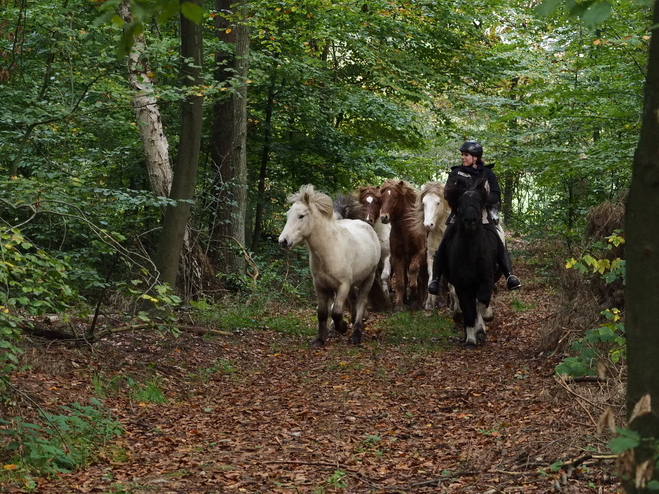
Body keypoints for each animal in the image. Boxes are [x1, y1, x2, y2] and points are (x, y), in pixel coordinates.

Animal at [280, 184, 384, 348]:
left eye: (301, 216)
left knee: (361, 302)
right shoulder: (320, 286)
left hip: (369, 278)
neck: (330, 249)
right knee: (353, 300)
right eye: (288, 214)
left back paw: (356, 333)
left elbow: (336, 312)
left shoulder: (343, 285)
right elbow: (323, 313)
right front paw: (319, 340)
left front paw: (343, 327)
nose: (283, 241)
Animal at [378, 179, 430, 310]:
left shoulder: (419, 253)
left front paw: (413, 293)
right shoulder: (397, 257)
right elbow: (401, 282)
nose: (384, 217)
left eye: (395, 197)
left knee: (423, 280)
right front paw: (399, 305)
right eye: (382, 198)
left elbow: (413, 270)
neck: (406, 230)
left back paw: (421, 301)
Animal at [412, 181, 454, 312]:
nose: (428, 225)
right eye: (423, 203)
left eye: (438, 202)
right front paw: (429, 305)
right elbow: (432, 278)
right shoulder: (432, 256)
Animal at [440, 179, 502, 346]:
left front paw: (482, 324)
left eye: (479, 201)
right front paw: (470, 339)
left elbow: (481, 302)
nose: (470, 221)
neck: (470, 251)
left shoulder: (486, 280)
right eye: (460, 201)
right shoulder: (462, 285)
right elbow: (468, 310)